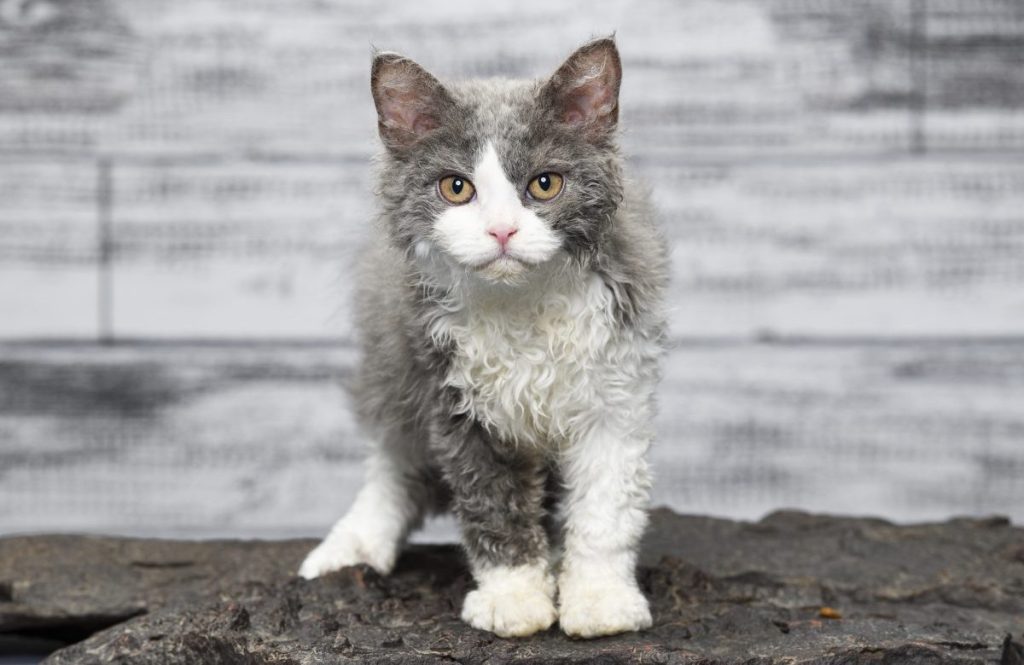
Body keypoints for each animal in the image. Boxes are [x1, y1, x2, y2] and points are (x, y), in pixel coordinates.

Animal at [296, 37, 667, 639]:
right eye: (456, 188)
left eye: (545, 183)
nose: (501, 230)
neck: (523, 306)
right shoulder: (454, 397)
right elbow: (492, 504)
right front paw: (514, 598)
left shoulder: (617, 389)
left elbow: (606, 508)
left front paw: (600, 599)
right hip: (391, 361)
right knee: (394, 461)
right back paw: (352, 543)